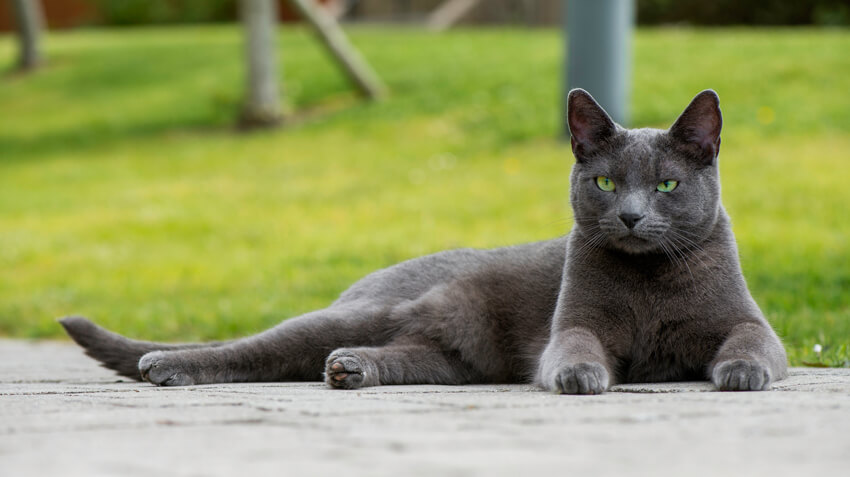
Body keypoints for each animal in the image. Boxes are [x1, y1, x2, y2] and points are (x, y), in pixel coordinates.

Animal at [61, 89, 788, 394]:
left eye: (666, 185)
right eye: (607, 182)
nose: (633, 217)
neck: (649, 283)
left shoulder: (753, 322)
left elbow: (753, 344)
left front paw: (740, 372)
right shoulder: (574, 322)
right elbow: (577, 346)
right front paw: (580, 375)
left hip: (454, 358)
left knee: (382, 357)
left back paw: (351, 368)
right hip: (363, 311)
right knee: (258, 347)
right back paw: (166, 363)